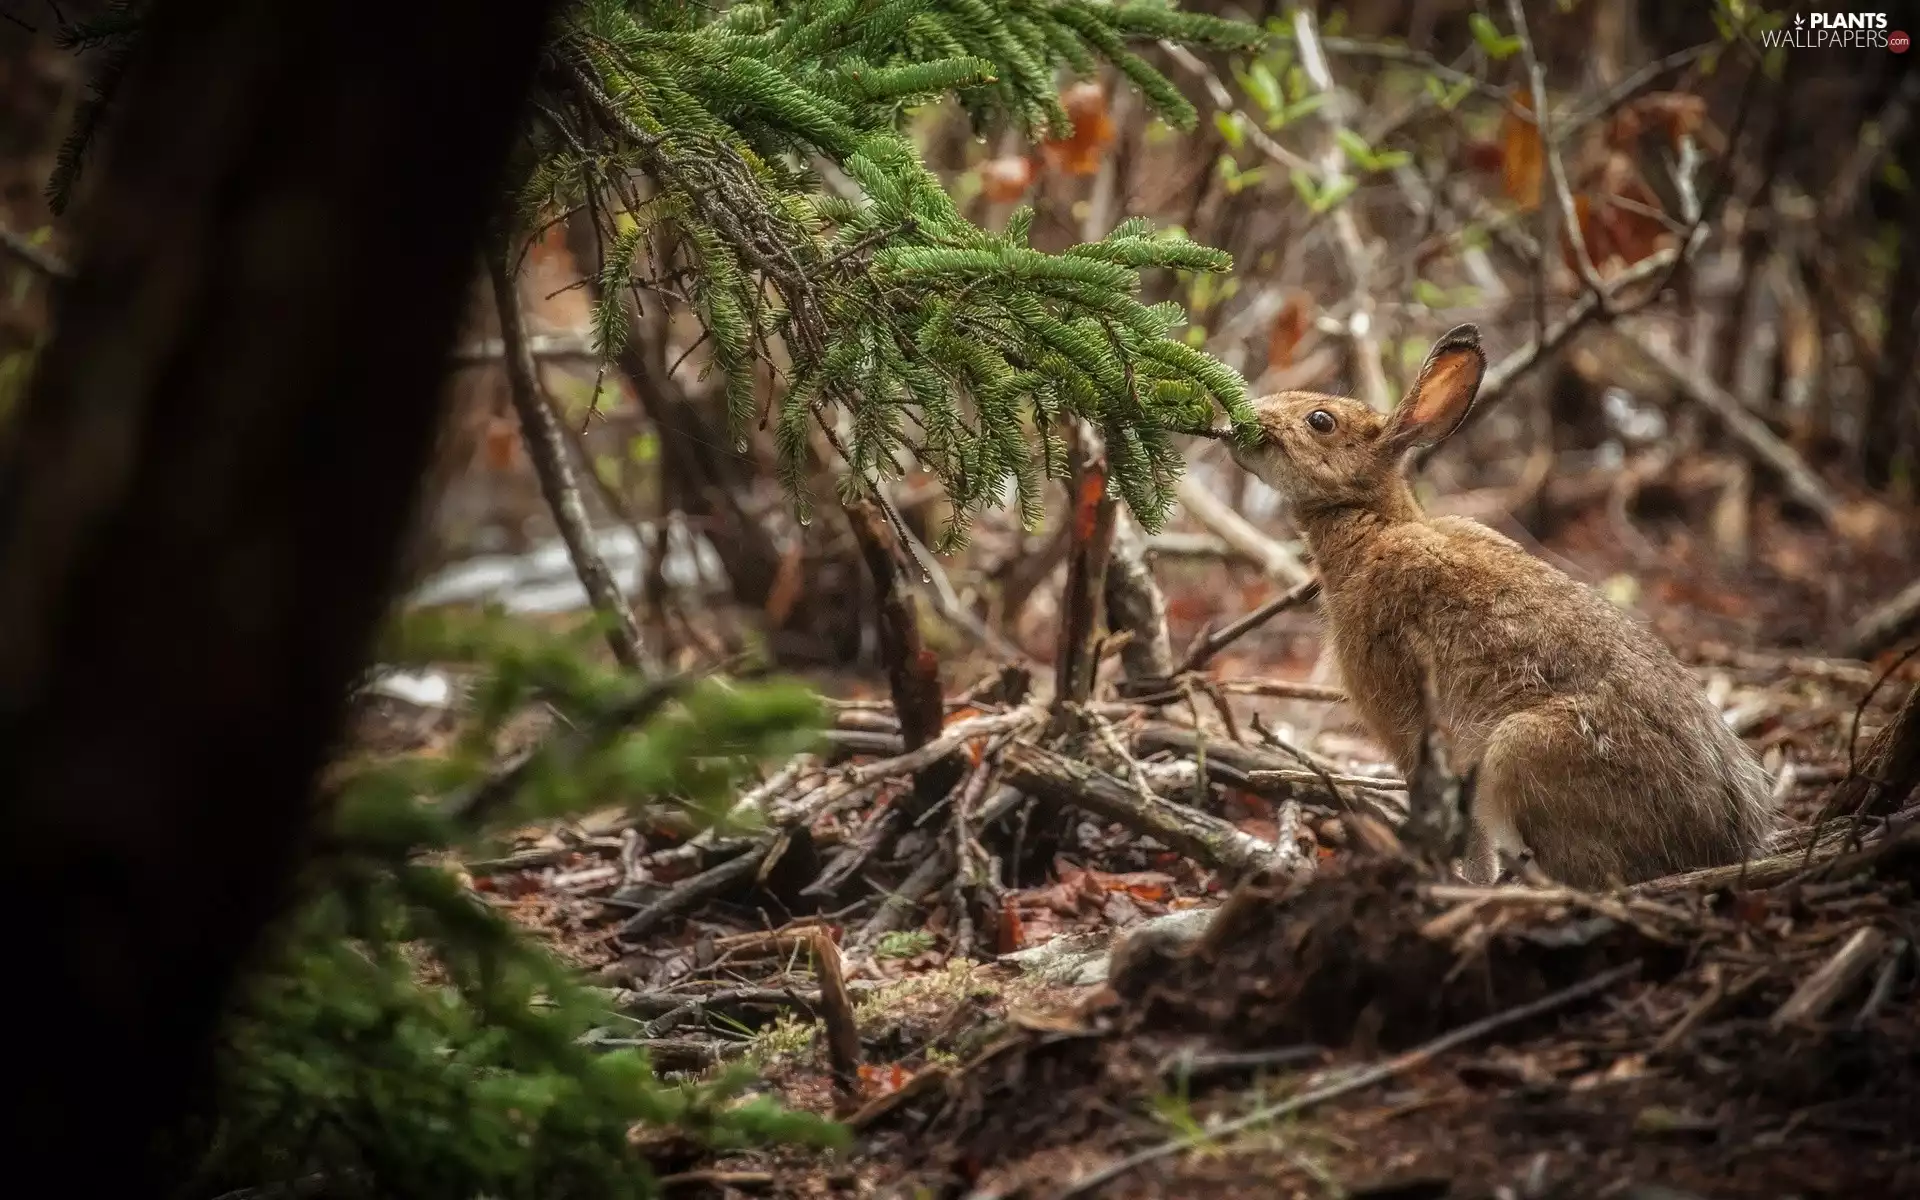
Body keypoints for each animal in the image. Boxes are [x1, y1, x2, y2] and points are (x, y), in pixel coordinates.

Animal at [1227, 323, 1776, 888]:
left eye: (1321, 421)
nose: (1245, 418)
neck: (1374, 524)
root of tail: (1719, 840)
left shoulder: (1410, 723)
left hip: (1521, 751)